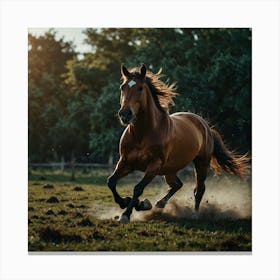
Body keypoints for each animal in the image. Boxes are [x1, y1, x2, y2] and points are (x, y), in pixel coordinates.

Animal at [107, 63, 249, 223]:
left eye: (140, 88)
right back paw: (159, 204)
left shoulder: (154, 165)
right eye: (122, 87)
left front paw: (127, 213)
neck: (143, 134)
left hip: (201, 163)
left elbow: (138, 188)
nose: (125, 114)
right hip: (169, 170)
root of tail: (205, 125)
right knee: (177, 185)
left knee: (199, 189)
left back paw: (195, 214)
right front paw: (130, 202)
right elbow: (111, 182)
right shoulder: (125, 162)